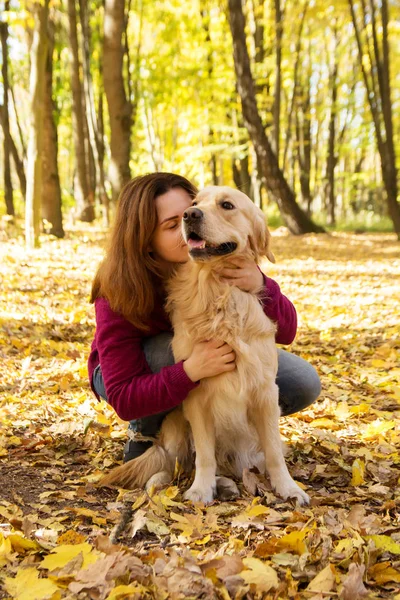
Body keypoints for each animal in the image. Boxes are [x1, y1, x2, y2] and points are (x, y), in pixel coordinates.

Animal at [100, 188, 310, 506]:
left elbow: (274, 451)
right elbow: (204, 455)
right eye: (194, 203)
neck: (217, 290)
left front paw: (288, 487)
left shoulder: (265, 392)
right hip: (175, 425)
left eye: (227, 205)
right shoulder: (196, 396)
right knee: (171, 460)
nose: (190, 215)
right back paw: (165, 482)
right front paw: (201, 489)